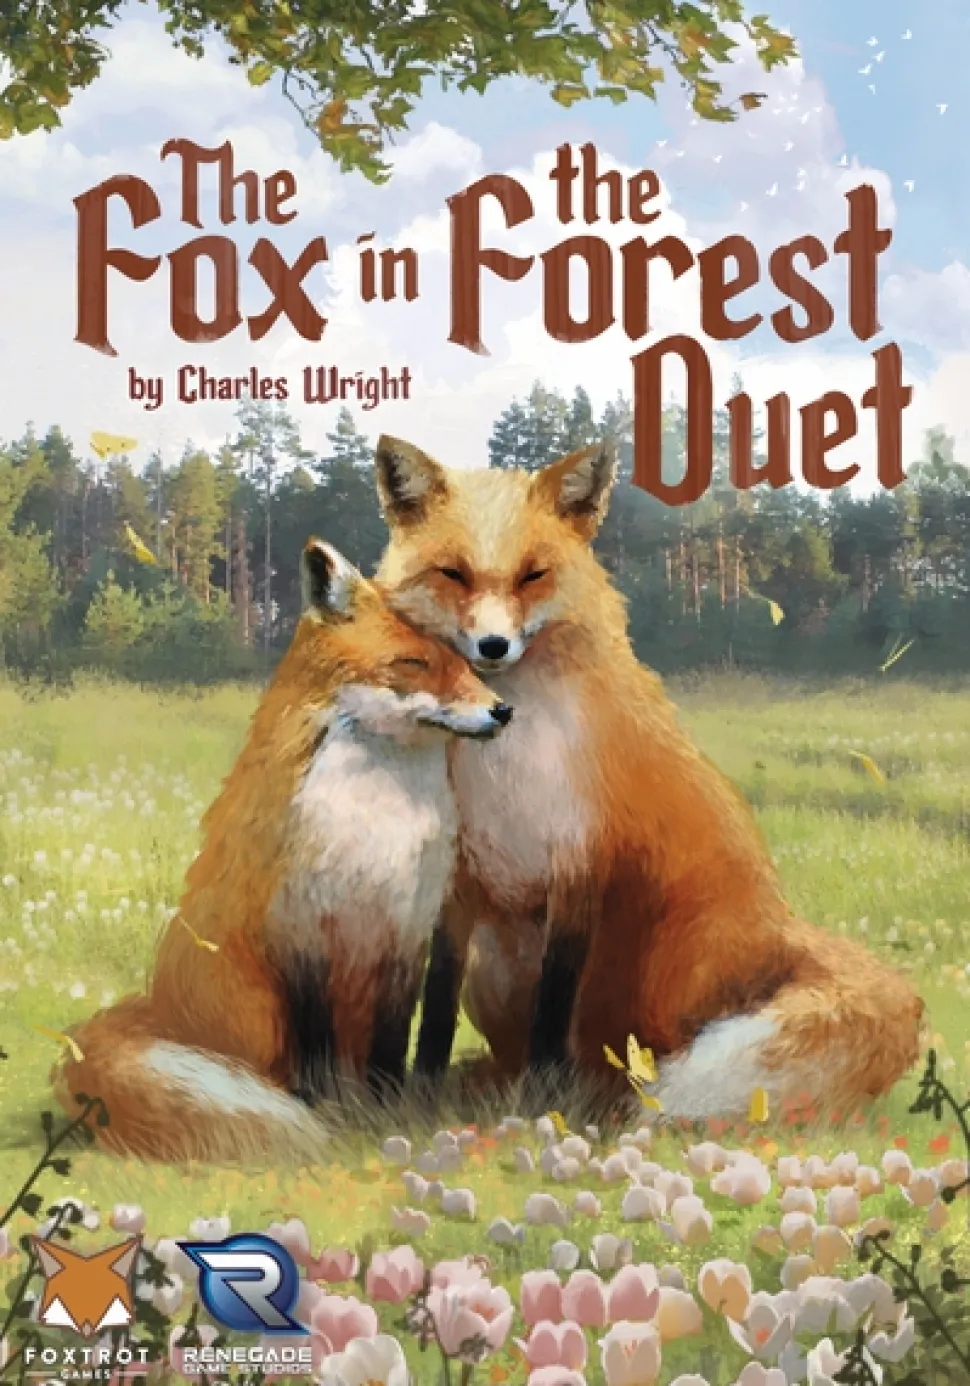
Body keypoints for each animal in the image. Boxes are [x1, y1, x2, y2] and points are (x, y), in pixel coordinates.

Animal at [52, 540, 512, 1162]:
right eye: (414, 664)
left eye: (468, 662)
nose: (503, 710)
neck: (374, 826)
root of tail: (155, 1010)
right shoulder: (300, 929)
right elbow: (313, 1047)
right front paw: (325, 1111)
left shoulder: (406, 931)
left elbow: (392, 1043)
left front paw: (389, 1110)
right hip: (258, 1012)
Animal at [372, 433, 924, 1119]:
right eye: (453, 574)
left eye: (533, 575)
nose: (494, 647)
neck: (504, 765)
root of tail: (782, 928)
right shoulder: (458, 881)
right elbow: (437, 1004)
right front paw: (418, 1095)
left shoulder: (579, 865)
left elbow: (554, 1006)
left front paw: (542, 1100)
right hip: (494, 962)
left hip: (666, 966)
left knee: (633, 1055)